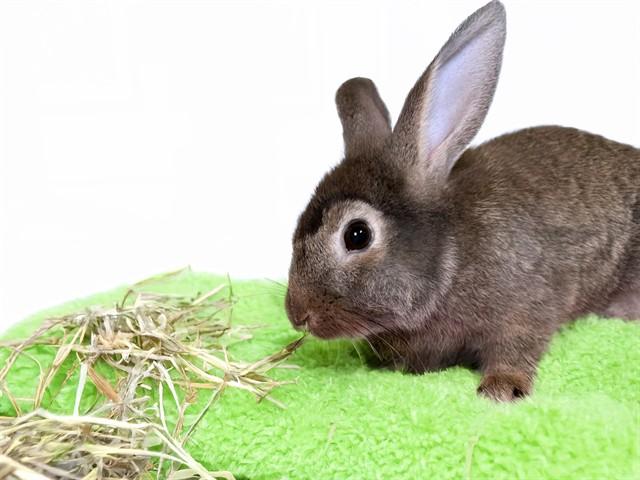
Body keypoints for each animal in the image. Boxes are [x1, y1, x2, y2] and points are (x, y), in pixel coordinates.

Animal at [285, 0, 640, 402]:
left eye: (357, 234)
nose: (297, 313)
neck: (450, 261)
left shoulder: (525, 306)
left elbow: (517, 346)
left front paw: (501, 388)